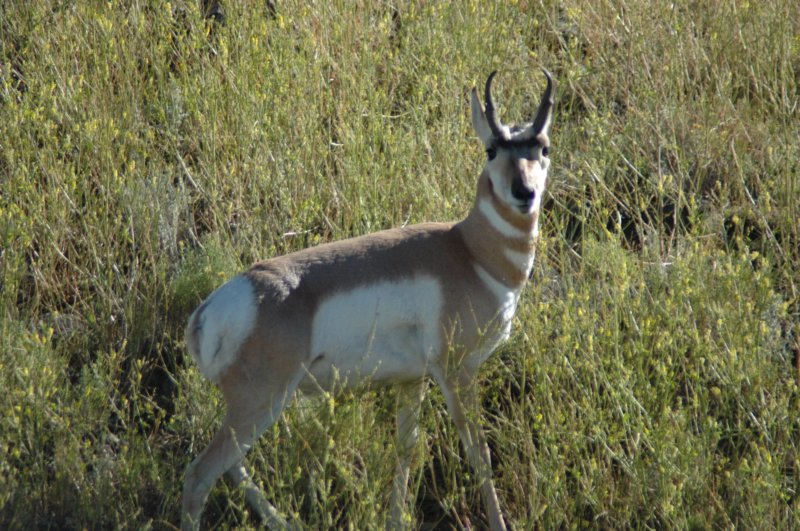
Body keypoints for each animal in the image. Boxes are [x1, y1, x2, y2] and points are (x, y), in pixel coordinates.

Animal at [181, 70, 554, 530]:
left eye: (543, 148)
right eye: (492, 149)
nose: (524, 192)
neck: (468, 251)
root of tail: (207, 311)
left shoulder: (412, 380)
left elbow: (405, 450)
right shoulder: (457, 372)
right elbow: (478, 454)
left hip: (254, 409)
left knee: (232, 466)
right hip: (261, 403)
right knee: (200, 475)